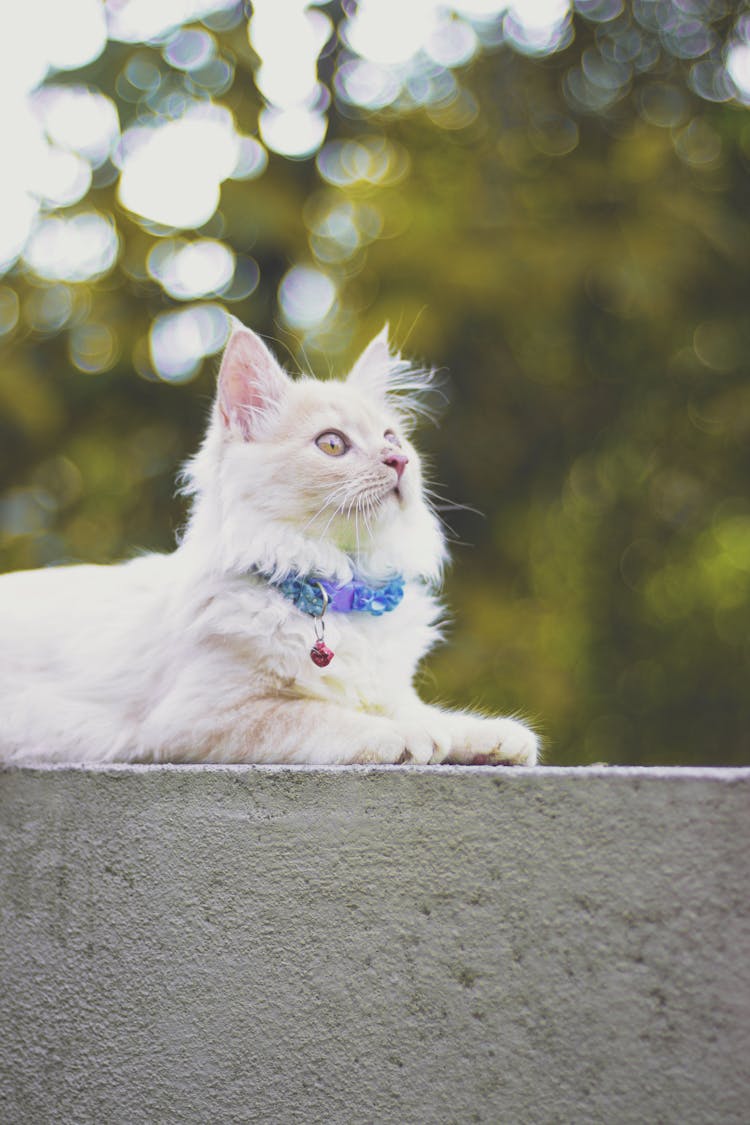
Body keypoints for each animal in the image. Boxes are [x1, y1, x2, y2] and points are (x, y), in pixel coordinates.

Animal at [0, 321, 539, 769]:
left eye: (393, 438)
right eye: (332, 444)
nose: (398, 461)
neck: (337, 585)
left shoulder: (390, 691)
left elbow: (426, 713)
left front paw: (490, 737)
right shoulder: (201, 718)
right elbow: (321, 715)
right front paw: (408, 738)